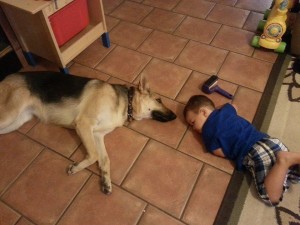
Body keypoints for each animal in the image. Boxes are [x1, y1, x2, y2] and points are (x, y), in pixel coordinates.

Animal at [0, 71, 176, 193]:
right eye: (159, 100)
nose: (175, 116)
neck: (127, 103)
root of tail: (5, 78)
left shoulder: (97, 135)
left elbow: (105, 159)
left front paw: (106, 180)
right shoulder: (84, 125)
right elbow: (94, 155)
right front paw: (77, 168)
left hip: (15, 121)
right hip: (10, 114)